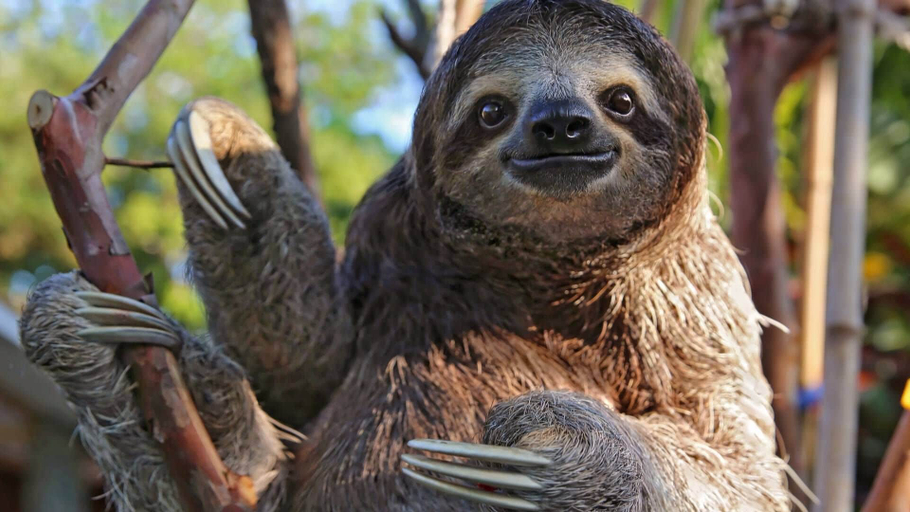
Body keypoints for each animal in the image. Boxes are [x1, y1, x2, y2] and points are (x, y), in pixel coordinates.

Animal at [19, 0, 791, 510]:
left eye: (621, 100)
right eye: (492, 110)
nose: (561, 125)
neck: (537, 273)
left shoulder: (697, 288)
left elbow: (740, 464)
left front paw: (560, 451)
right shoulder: (384, 229)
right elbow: (302, 371)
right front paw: (230, 151)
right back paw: (109, 346)